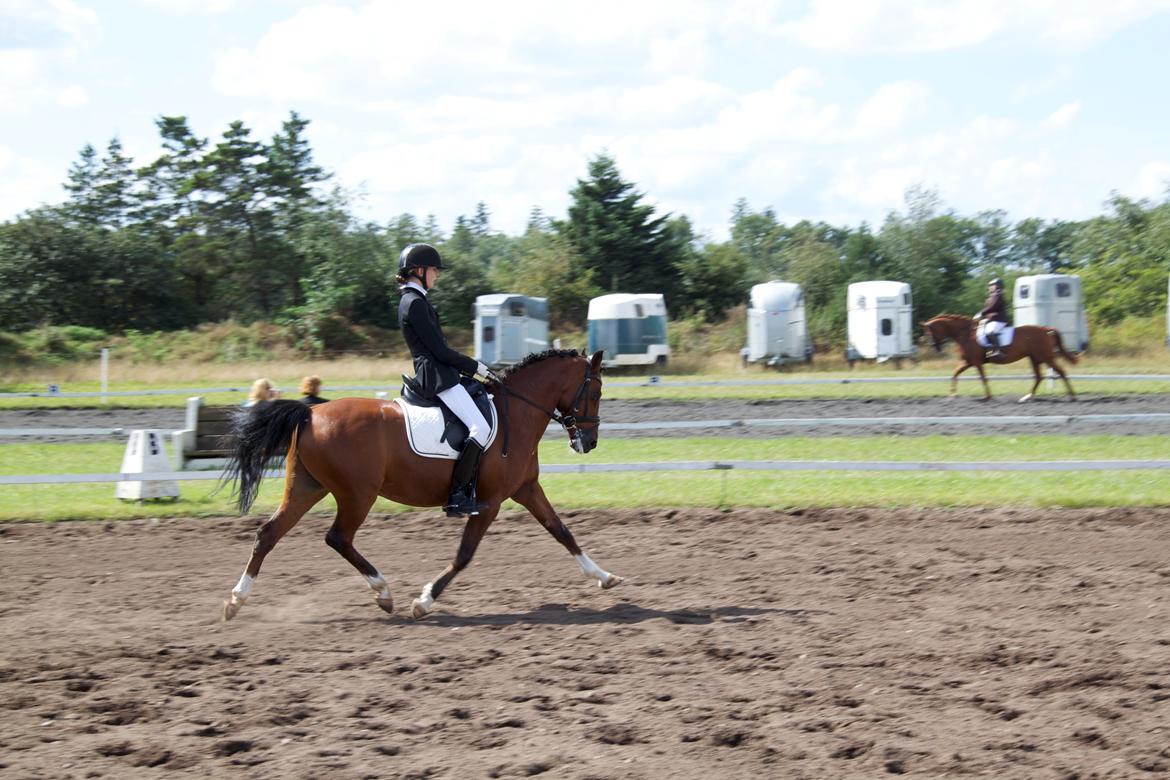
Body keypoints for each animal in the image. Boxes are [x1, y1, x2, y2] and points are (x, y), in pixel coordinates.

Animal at [219, 348, 622, 622]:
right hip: (357, 494)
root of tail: (311, 411)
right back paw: (383, 592)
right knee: (338, 538)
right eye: (596, 393)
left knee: (269, 534)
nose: (589, 443)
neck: (517, 414)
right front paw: (424, 601)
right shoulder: (489, 501)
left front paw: (604, 577)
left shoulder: (526, 489)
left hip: (307, 487)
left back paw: (236, 600)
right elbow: (464, 555)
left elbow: (562, 531)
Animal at [921, 313, 1076, 402]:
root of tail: (1046, 329)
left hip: (1045, 357)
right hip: (1034, 358)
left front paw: (988, 397)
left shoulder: (976, 362)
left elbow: (983, 378)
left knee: (1061, 372)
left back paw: (1072, 396)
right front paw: (952, 395)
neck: (965, 333)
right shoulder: (967, 362)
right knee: (1039, 377)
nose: (935, 347)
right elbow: (954, 374)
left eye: (930, 332)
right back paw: (1027, 397)